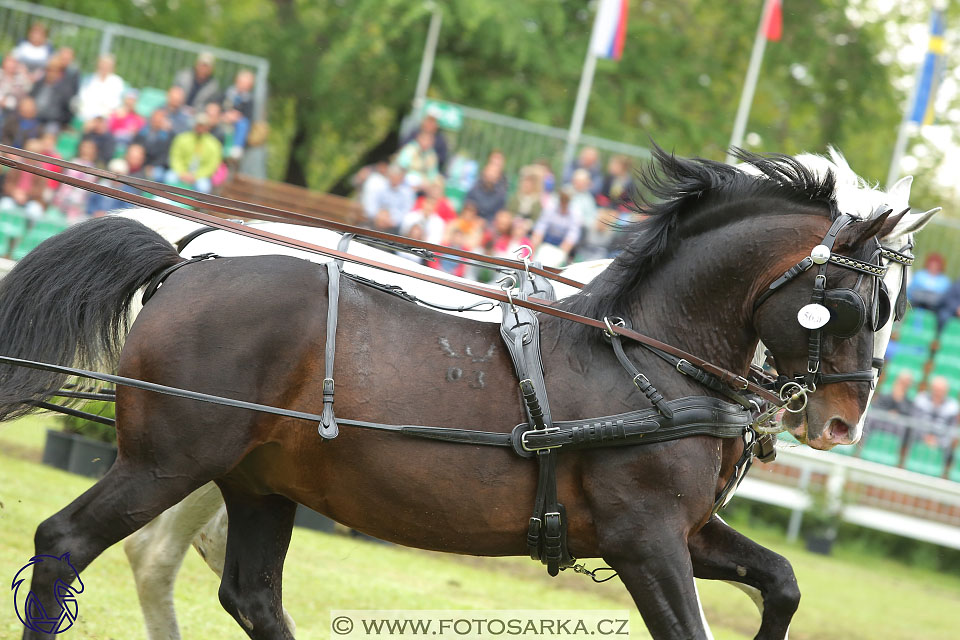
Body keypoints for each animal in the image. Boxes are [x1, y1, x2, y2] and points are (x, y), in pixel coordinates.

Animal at [0, 151, 908, 640]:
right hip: (166, 463)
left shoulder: (682, 530)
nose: (842, 422)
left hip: (259, 481)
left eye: (891, 307)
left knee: (247, 592)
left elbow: (782, 580)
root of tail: (188, 264)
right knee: (65, 543)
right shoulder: (645, 538)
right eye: (853, 304)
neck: (642, 356)